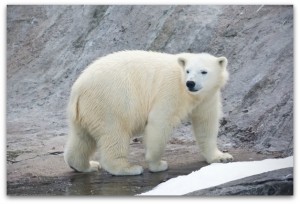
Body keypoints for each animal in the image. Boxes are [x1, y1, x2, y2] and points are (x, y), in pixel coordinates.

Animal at [63, 50, 233, 175]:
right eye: (188, 71)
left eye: (204, 71)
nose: (190, 83)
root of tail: (77, 88)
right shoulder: (170, 90)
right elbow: (160, 122)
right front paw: (158, 164)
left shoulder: (207, 97)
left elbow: (206, 124)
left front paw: (222, 157)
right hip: (110, 101)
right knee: (115, 133)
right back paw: (128, 168)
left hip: (86, 110)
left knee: (82, 138)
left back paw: (86, 165)